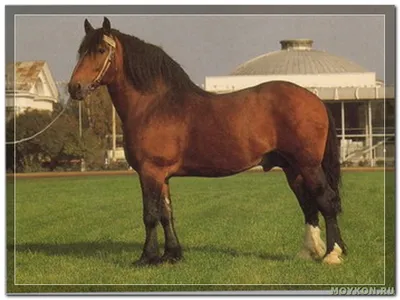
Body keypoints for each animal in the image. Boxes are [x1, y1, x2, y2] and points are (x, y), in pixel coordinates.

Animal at [67, 17, 346, 264]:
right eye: (80, 51)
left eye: (100, 50)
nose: (74, 87)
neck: (154, 105)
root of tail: (316, 99)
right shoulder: (162, 175)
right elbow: (167, 213)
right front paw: (172, 255)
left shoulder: (150, 172)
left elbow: (150, 215)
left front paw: (147, 257)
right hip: (293, 169)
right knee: (308, 205)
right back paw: (309, 252)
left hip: (308, 165)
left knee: (326, 200)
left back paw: (332, 254)